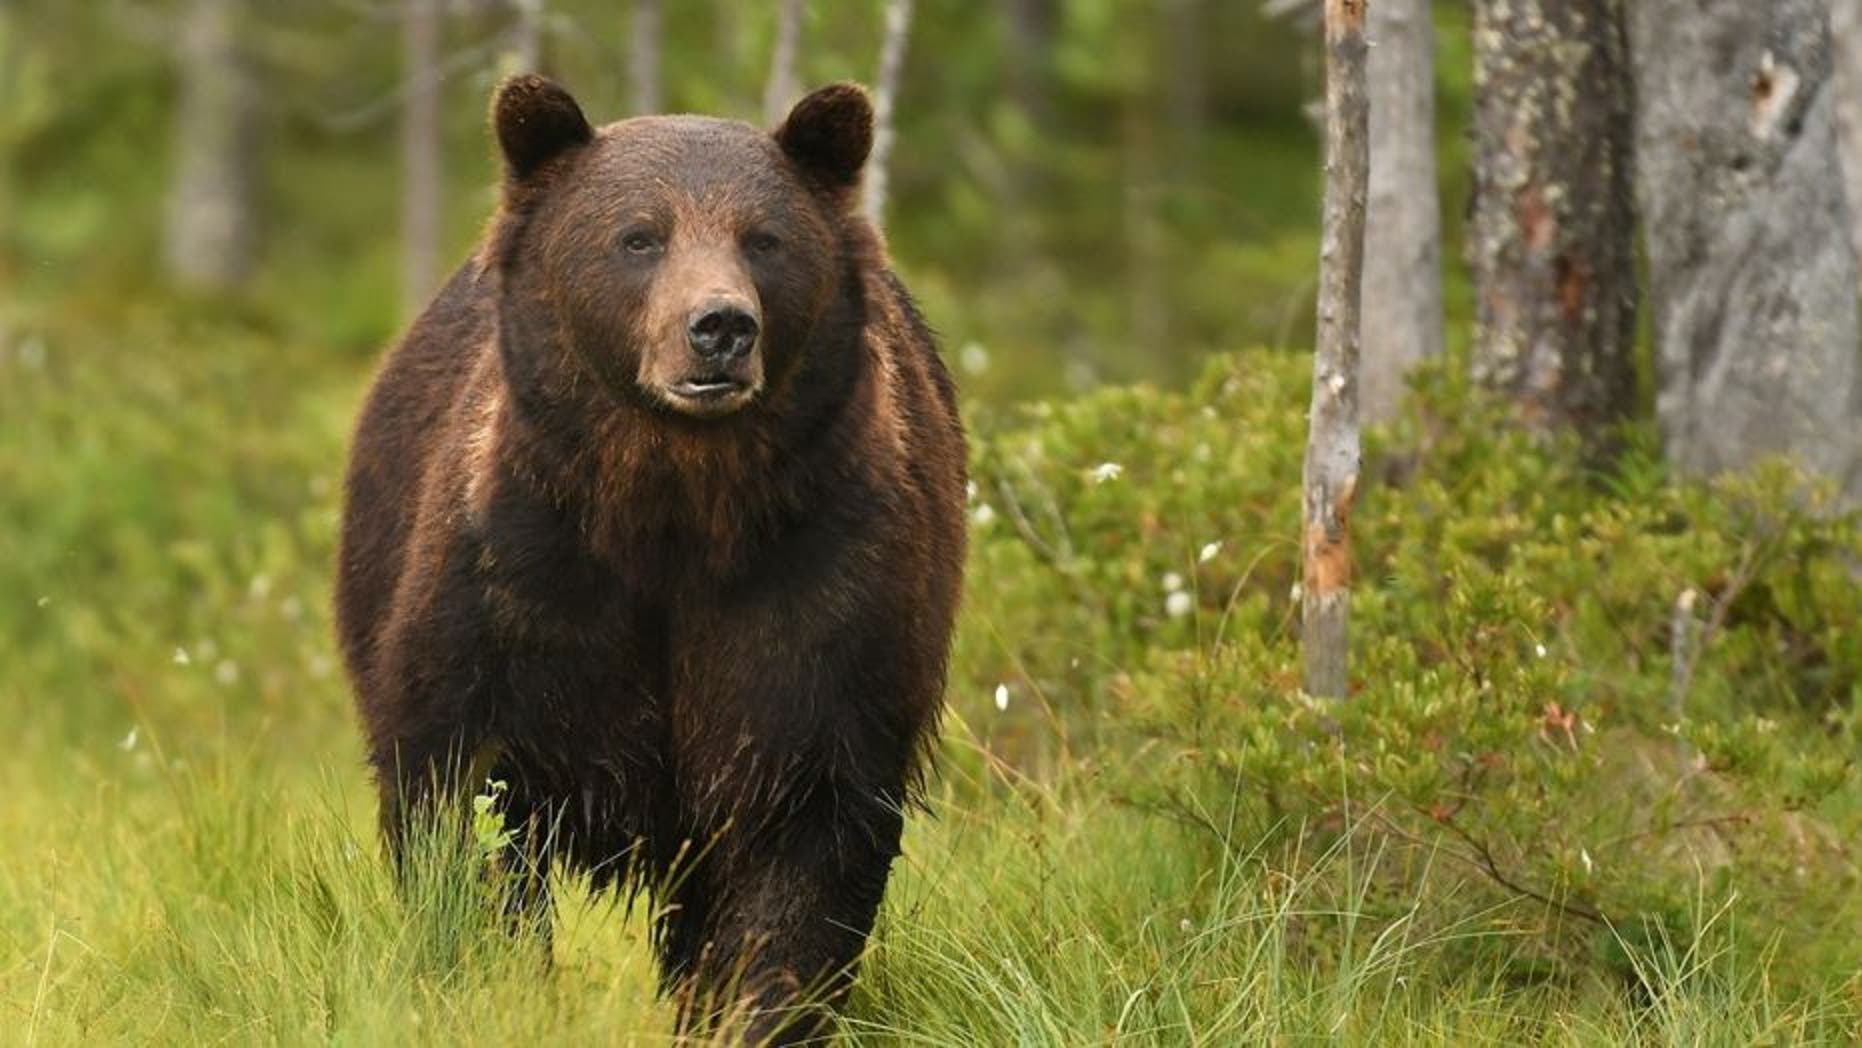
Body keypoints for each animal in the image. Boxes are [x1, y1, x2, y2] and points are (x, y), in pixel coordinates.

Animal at [335, 75, 968, 1042]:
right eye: (638, 236)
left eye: (763, 237)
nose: (720, 328)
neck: (671, 513)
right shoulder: (519, 581)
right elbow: (462, 798)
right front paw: (497, 980)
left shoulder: (821, 583)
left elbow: (804, 827)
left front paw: (753, 1010)